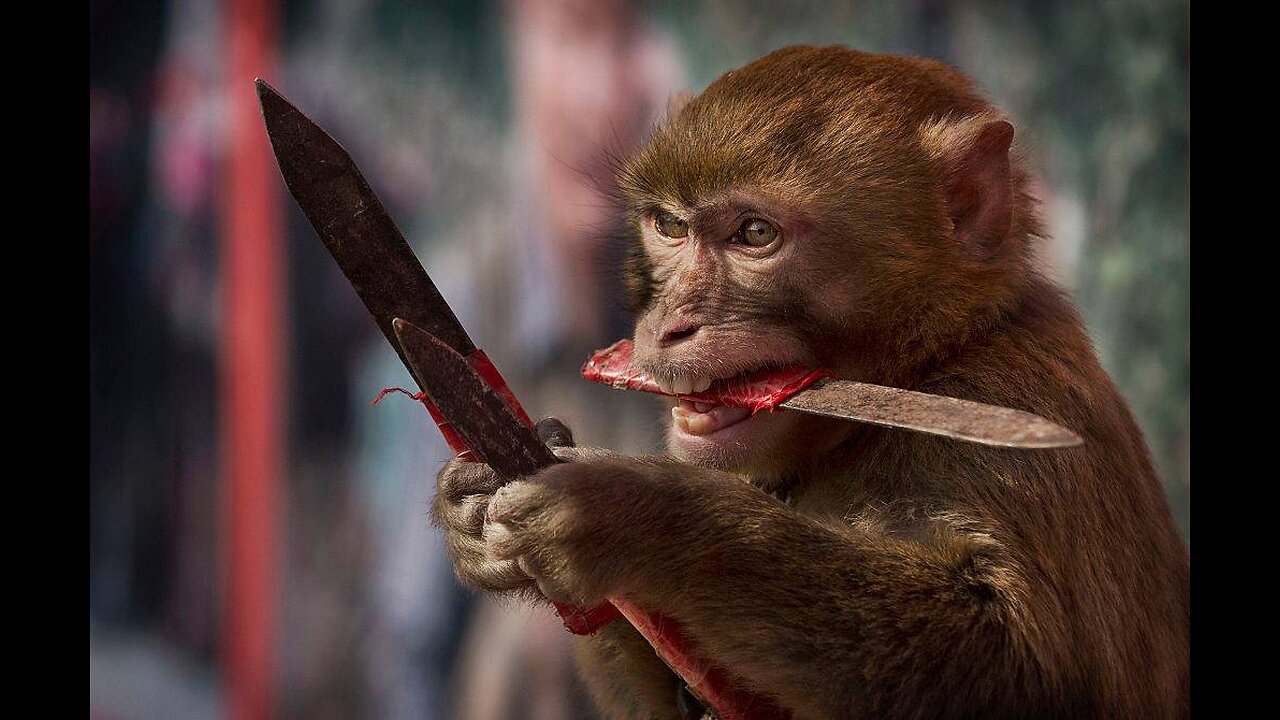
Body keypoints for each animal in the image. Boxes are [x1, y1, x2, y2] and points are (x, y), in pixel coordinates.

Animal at [432, 46, 1190, 719]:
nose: (669, 326)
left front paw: (642, 518)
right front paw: (476, 500)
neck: (927, 368)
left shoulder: (1008, 417)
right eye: (670, 226)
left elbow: (1020, 672)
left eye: (754, 234)